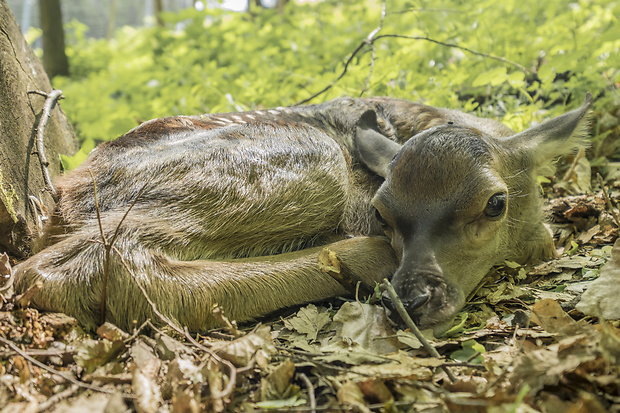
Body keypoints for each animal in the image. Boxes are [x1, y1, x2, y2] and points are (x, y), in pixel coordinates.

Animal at [15, 91, 592, 334]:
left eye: (495, 203)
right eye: (380, 213)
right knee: (81, 265)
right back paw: (359, 258)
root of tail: (61, 200)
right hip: (310, 160)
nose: (411, 298)